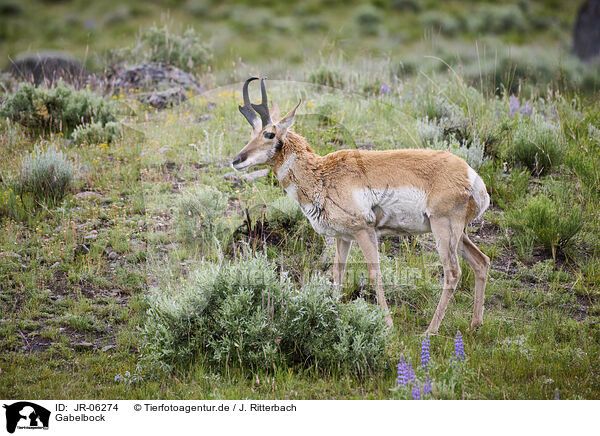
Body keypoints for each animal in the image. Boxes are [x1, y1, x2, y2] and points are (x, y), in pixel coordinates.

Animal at [232, 77, 490, 334]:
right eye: (252, 132)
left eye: (269, 133)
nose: (236, 160)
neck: (322, 174)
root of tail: (471, 176)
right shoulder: (342, 237)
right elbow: (338, 273)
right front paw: (331, 314)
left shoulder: (364, 231)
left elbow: (375, 273)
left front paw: (387, 325)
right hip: (458, 234)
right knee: (481, 262)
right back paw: (475, 324)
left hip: (442, 228)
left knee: (453, 272)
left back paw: (430, 331)